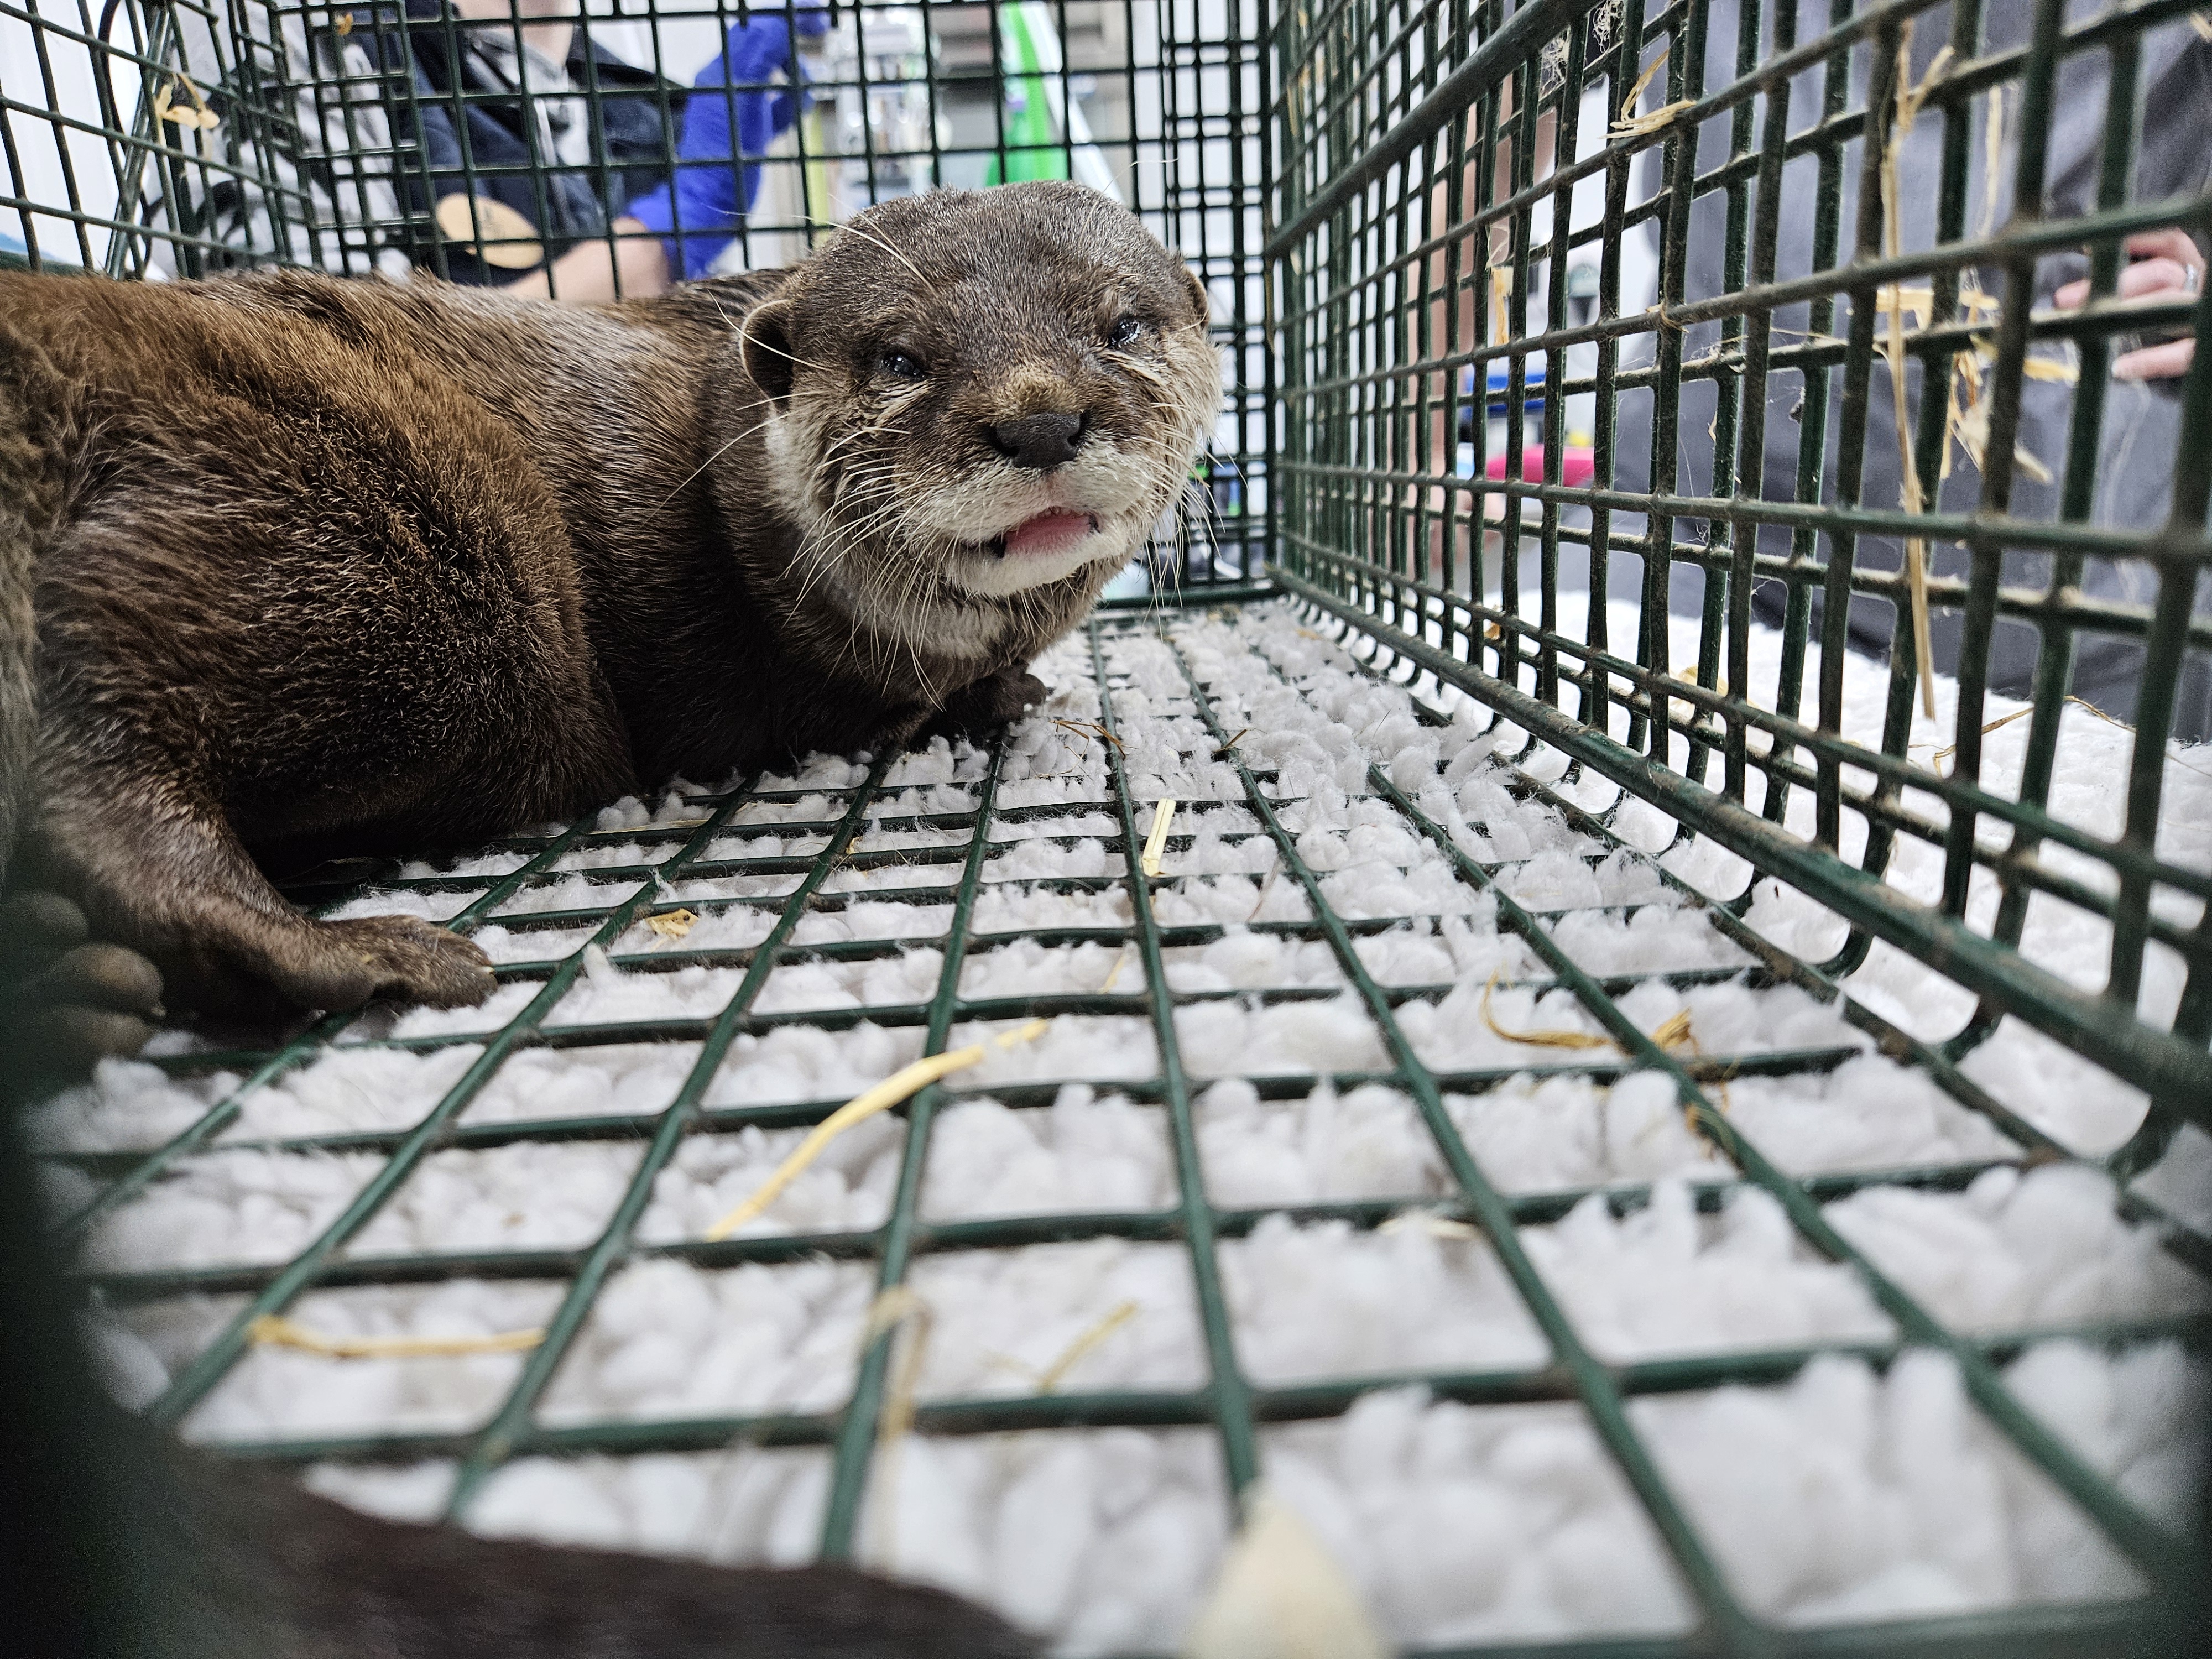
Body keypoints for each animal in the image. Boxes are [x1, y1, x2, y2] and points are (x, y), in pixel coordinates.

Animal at [0, 179, 1218, 1050]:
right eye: (901, 357)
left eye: (1121, 326)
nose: (1040, 419)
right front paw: (976, 701)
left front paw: (1013, 684)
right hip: (370, 551)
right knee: (96, 730)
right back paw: (360, 956)